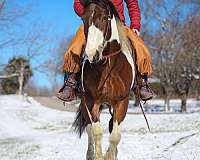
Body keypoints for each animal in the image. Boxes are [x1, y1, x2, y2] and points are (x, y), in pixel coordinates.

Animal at [72, 0, 136, 159]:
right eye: (83, 19)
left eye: (104, 18)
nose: (91, 54)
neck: (107, 67)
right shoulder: (91, 101)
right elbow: (96, 132)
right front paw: (99, 156)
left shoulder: (122, 102)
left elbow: (115, 136)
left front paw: (111, 155)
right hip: (86, 105)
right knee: (89, 129)